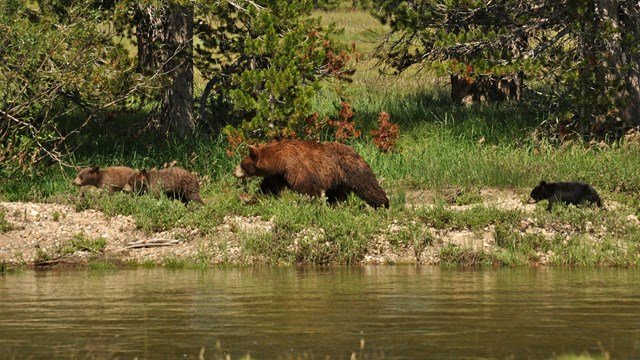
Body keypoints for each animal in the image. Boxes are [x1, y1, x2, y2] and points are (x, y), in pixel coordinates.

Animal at [232, 140, 388, 208]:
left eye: (241, 164)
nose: (234, 172)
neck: (279, 162)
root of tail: (356, 152)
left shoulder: (295, 169)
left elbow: (308, 188)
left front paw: (315, 204)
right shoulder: (278, 176)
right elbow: (268, 189)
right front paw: (251, 201)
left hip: (352, 169)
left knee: (368, 187)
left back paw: (383, 205)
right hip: (338, 180)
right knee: (337, 194)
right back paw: (334, 205)